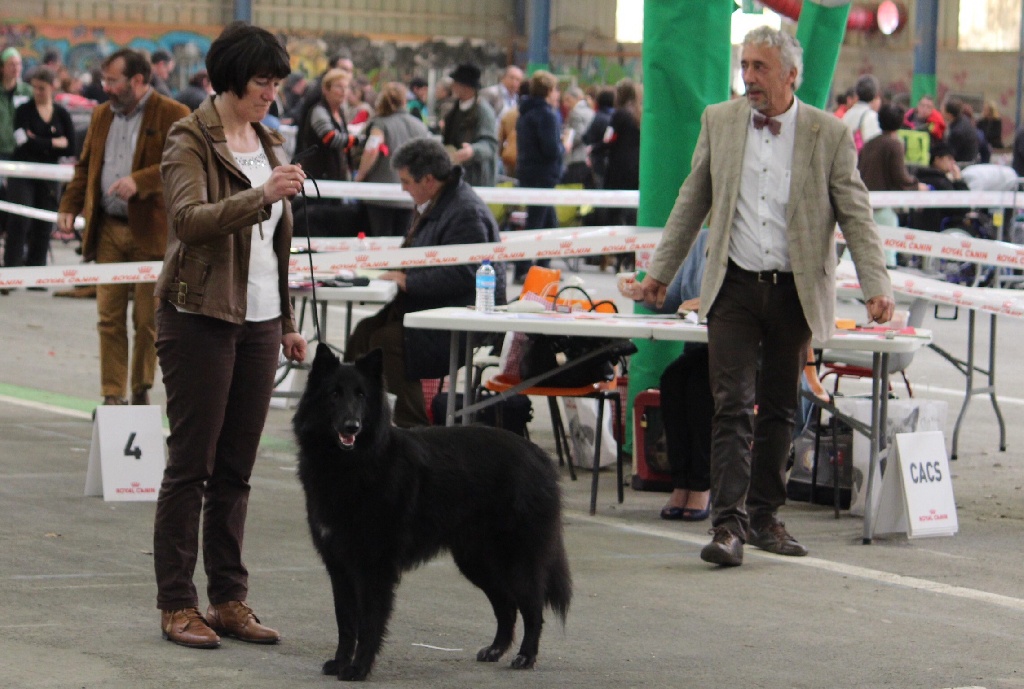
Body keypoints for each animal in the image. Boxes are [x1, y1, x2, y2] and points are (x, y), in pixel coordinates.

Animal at [292, 346, 573, 679]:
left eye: (361, 395)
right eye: (334, 393)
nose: (352, 427)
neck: (352, 465)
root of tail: (540, 456)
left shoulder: (374, 567)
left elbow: (369, 622)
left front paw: (358, 668)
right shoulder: (339, 566)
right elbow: (346, 622)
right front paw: (339, 662)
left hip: (516, 560)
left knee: (532, 608)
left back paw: (525, 656)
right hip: (476, 561)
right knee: (506, 606)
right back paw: (495, 650)